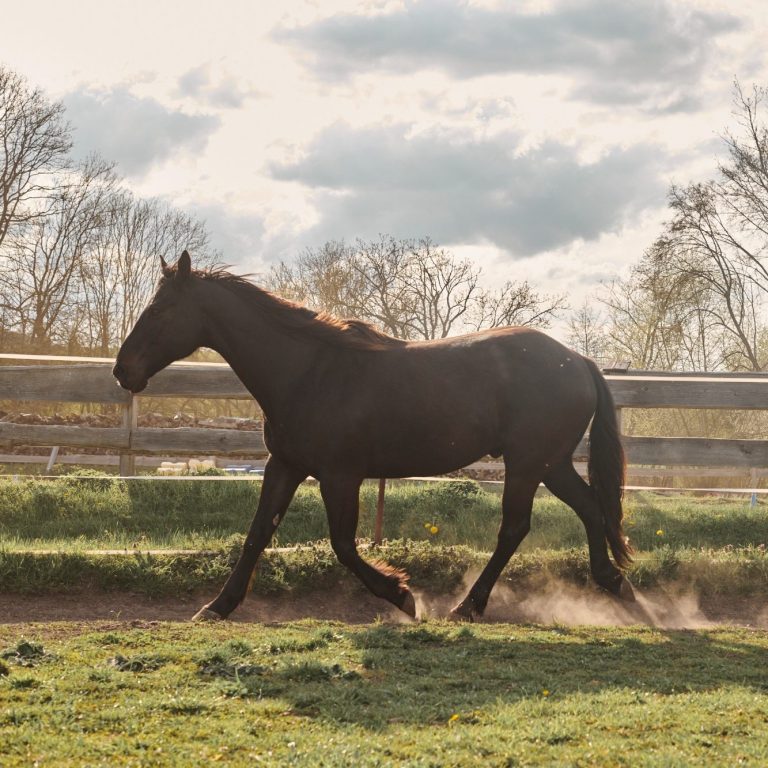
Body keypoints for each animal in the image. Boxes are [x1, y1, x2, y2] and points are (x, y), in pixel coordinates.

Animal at [113, 250, 635, 622]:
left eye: (160, 309)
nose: (122, 370)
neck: (309, 371)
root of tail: (578, 360)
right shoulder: (285, 465)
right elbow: (259, 532)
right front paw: (217, 606)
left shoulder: (340, 474)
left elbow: (343, 544)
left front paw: (402, 595)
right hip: (552, 463)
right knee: (591, 509)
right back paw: (616, 584)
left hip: (527, 464)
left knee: (514, 528)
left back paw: (468, 606)